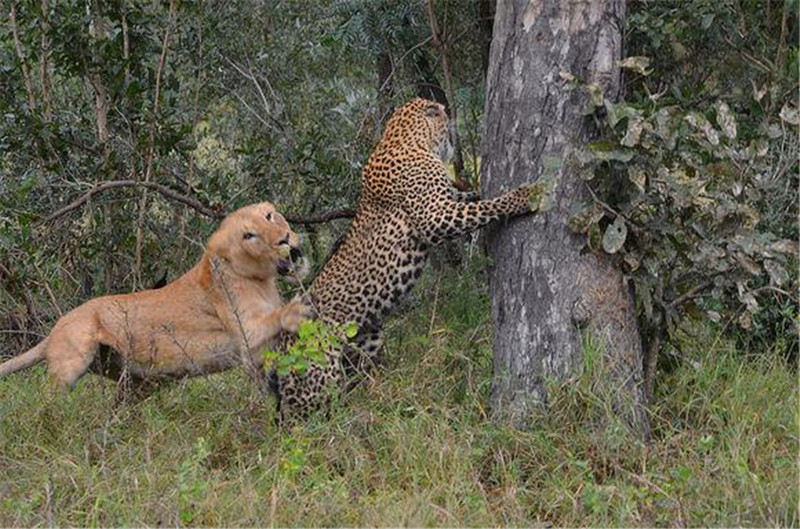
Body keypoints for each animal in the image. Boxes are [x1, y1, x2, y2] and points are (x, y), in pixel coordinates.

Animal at [274, 98, 536, 420]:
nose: (451, 117)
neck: (407, 138)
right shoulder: (435, 218)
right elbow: (487, 207)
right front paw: (524, 195)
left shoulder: (444, 202)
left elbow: (470, 199)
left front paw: (478, 190)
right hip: (319, 376)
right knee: (309, 418)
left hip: (367, 341)